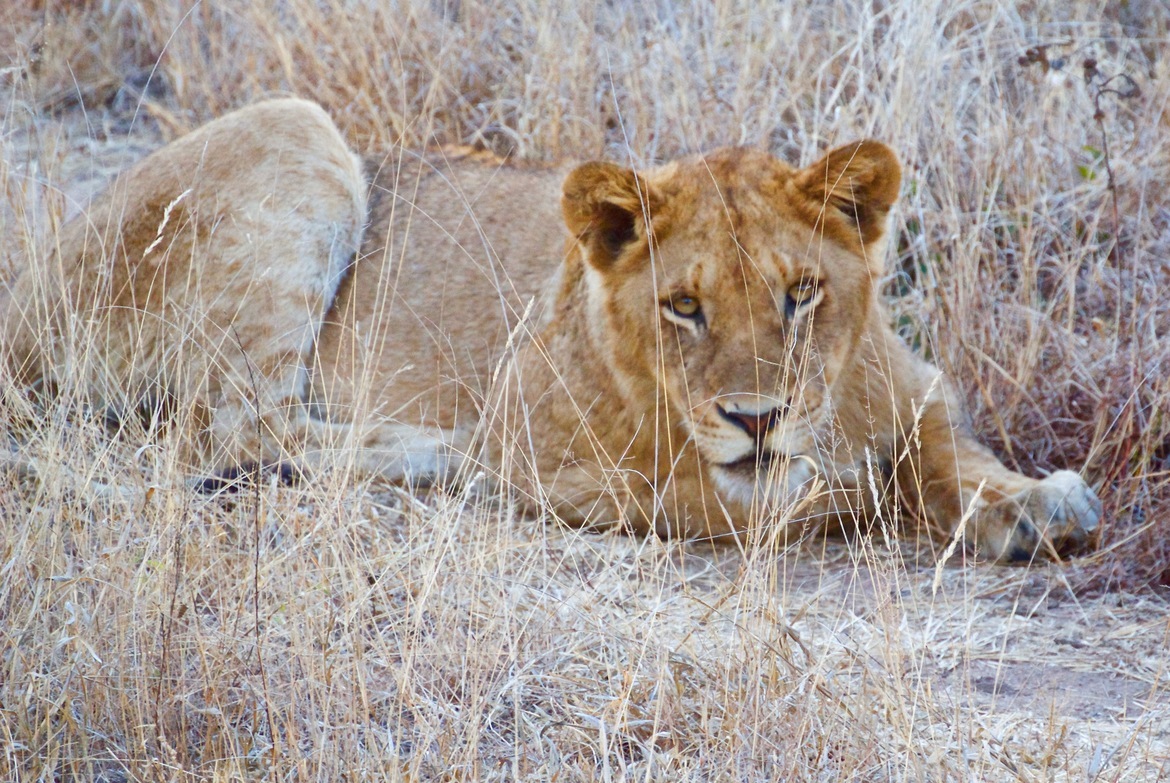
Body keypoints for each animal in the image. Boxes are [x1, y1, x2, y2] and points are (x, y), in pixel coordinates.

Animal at [0, 98, 1101, 562]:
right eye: (684, 305)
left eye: (800, 294)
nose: (757, 418)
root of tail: (22, 300)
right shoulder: (565, 471)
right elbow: (752, 503)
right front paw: (845, 488)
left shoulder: (915, 390)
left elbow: (949, 451)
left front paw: (1037, 504)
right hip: (295, 130)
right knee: (233, 425)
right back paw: (436, 453)